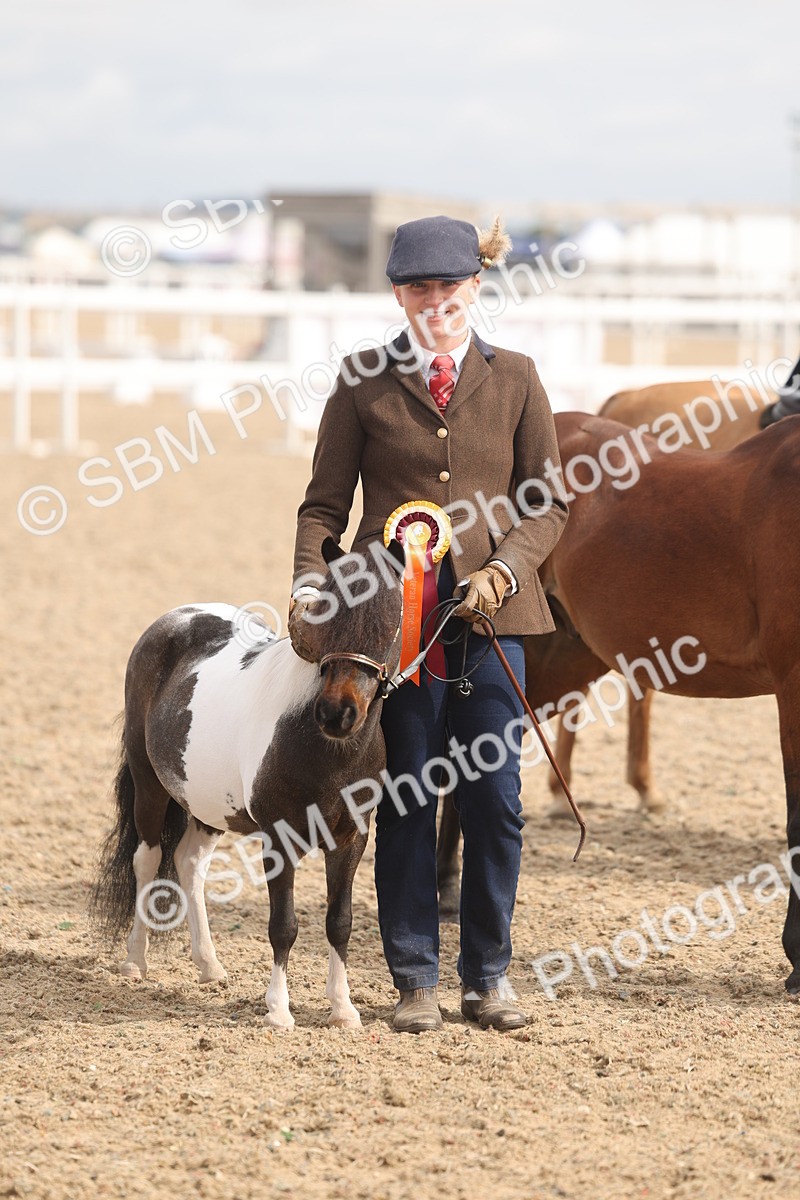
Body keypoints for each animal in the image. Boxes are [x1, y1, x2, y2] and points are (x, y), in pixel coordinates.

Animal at [91, 537, 405, 1029]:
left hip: (206, 804)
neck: (325, 748)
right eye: (328, 614)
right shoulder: (280, 838)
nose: (337, 713)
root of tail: (174, 618)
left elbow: (340, 922)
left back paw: (209, 966)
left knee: (188, 864)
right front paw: (278, 1010)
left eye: (390, 622)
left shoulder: (351, 838)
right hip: (149, 785)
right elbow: (284, 925)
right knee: (148, 860)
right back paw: (135, 960)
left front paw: (343, 1009)